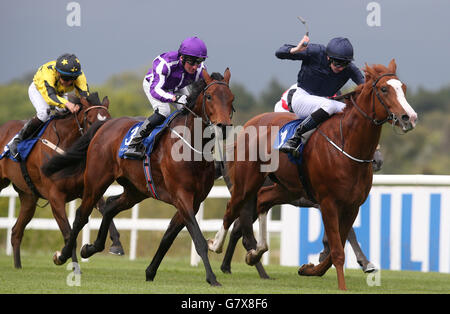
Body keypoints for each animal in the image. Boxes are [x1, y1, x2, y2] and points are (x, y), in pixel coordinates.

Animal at [0, 92, 124, 268]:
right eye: (90, 121)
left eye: (108, 120)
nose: (102, 142)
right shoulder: (55, 197)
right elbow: (68, 234)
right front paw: (71, 264)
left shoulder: (87, 189)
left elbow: (105, 210)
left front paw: (116, 245)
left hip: (28, 197)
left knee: (16, 232)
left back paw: (18, 267)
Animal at [41, 69, 236, 288]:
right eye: (209, 96)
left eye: (231, 98)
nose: (224, 126)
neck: (190, 148)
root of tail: (106, 124)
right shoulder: (182, 197)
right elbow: (199, 240)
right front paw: (212, 278)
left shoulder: (193, 202)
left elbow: (168, 237)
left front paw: (150, 271)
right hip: (96, 181)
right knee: (81, 215)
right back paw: (63, 255)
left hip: (136, 190)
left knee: (110, 206)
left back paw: (93, 247)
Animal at [210, 59, 418, 290]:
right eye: (384, 89)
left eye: (403, 88)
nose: (409, 118)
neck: (347, 144)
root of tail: (248, 125)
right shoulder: (327, 202)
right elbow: (337, 249)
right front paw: (343, 285)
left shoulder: (352, 205)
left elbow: (338, 246)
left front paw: (309, 269)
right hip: (247, 184)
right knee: (232, 210)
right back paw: (217, 245)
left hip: (288, 189)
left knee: (263, 201)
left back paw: (255, 253)